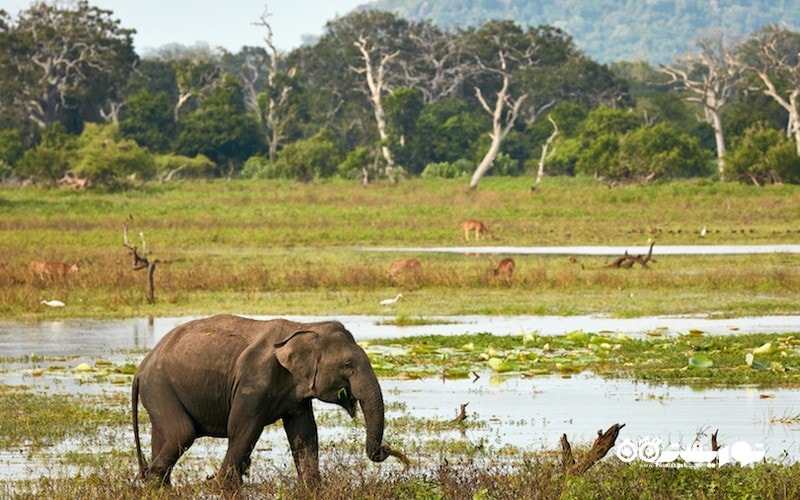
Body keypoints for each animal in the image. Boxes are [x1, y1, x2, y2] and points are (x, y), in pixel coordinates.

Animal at [133, 314, 406, 490]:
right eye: (348, 365)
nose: (389, 450)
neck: (302, 327)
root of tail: (142, 366)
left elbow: (304, 432)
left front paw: (313, 487)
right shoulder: (253, 379)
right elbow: (244, 427)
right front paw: (220, 486)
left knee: (165, 434)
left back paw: (158, 486)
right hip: (159, 388)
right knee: (183, 432)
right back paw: (152, 482)